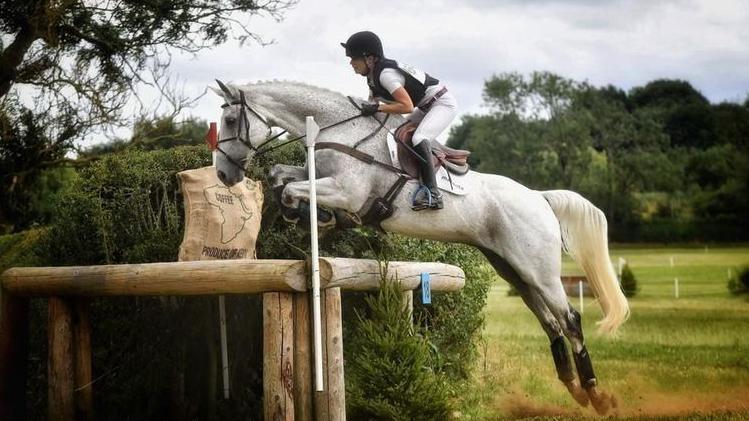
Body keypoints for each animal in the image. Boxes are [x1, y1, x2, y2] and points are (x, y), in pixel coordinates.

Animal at [212, 79, 632, 414]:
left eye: (231, 121)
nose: (224, 174)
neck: (340, 131)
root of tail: (539, 198)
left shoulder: (346, 190)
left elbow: (293, 187)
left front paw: (317, 216)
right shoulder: (320, 177)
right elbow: (281, 176)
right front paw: (310, 215)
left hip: (538, 269)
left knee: (569, 319)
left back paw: (596, 395)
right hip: (512, 268)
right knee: (549, 322)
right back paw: (574, 388)